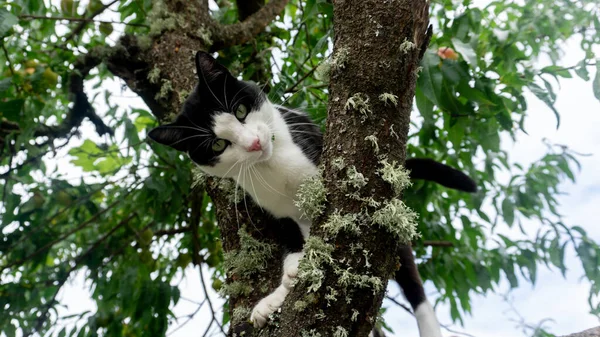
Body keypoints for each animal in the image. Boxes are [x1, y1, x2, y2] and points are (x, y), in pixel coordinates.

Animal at [148, 51, 476, 336]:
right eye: (218, 145)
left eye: (240, 111)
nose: (255, 143)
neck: (272, 166)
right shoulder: (277, 210)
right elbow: (294, 238)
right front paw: (283, 284)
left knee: (412, 281)